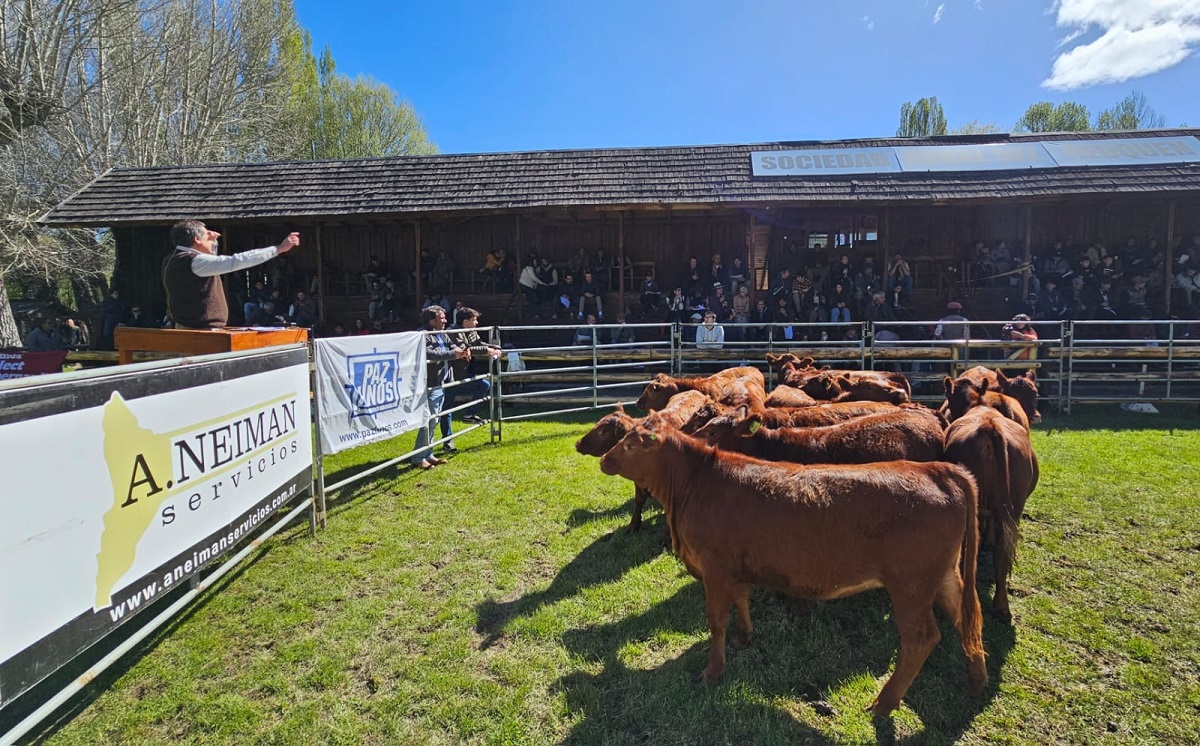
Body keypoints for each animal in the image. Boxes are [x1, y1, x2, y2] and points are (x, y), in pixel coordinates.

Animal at [600, 422, 984, 719]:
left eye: (631, 444)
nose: (604, 459)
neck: (696, 483)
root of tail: (935, 469)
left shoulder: (716, 568)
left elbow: (716, 620)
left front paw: (713, 671)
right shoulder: (736, 568)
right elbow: (742, 600)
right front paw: (745, 637)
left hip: (910, 586)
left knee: (921, 638)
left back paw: (884, 703)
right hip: (945, 576)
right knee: (966, 620)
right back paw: (977, 680)